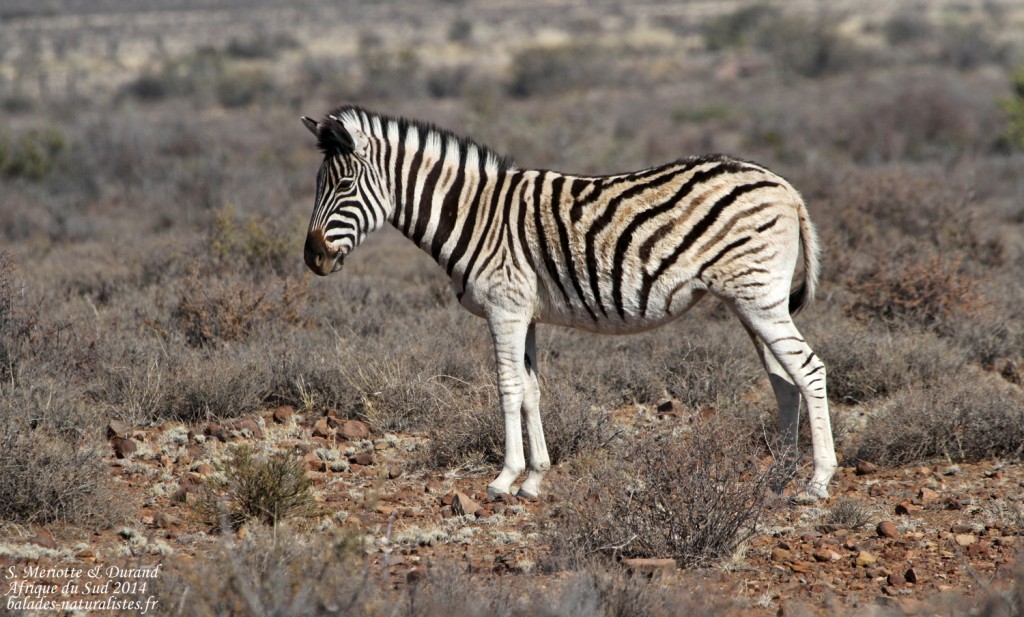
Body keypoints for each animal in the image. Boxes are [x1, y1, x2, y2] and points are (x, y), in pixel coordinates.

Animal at [300, 105, 837, 500]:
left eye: (344, 185)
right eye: (316, 185)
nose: (312, 258)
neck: (473, 214)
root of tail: (785, 186)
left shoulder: (505, 308)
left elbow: (507, 388)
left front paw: (503, 479)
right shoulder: (527, 313)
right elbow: (532, 390)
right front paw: (535, 478)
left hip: (759, 297)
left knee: (809, 370)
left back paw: (816, 482)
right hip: (751, 302)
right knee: (784, 380)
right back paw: (778, 475)